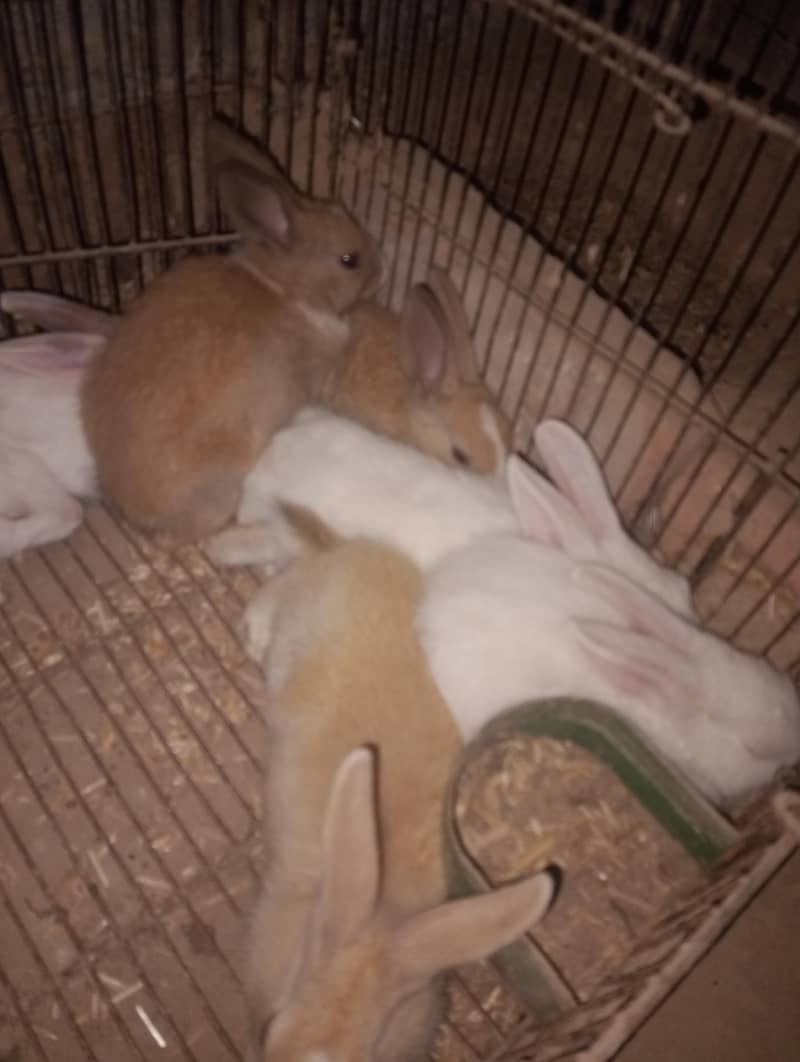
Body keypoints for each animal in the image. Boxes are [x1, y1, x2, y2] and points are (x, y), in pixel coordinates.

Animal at [238, 522, 554, 1062]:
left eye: (364, 1054)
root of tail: (360, 552)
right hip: (297, 624)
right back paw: (256, 632)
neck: (384, 916)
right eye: (270, 1031)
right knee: (280, 589)